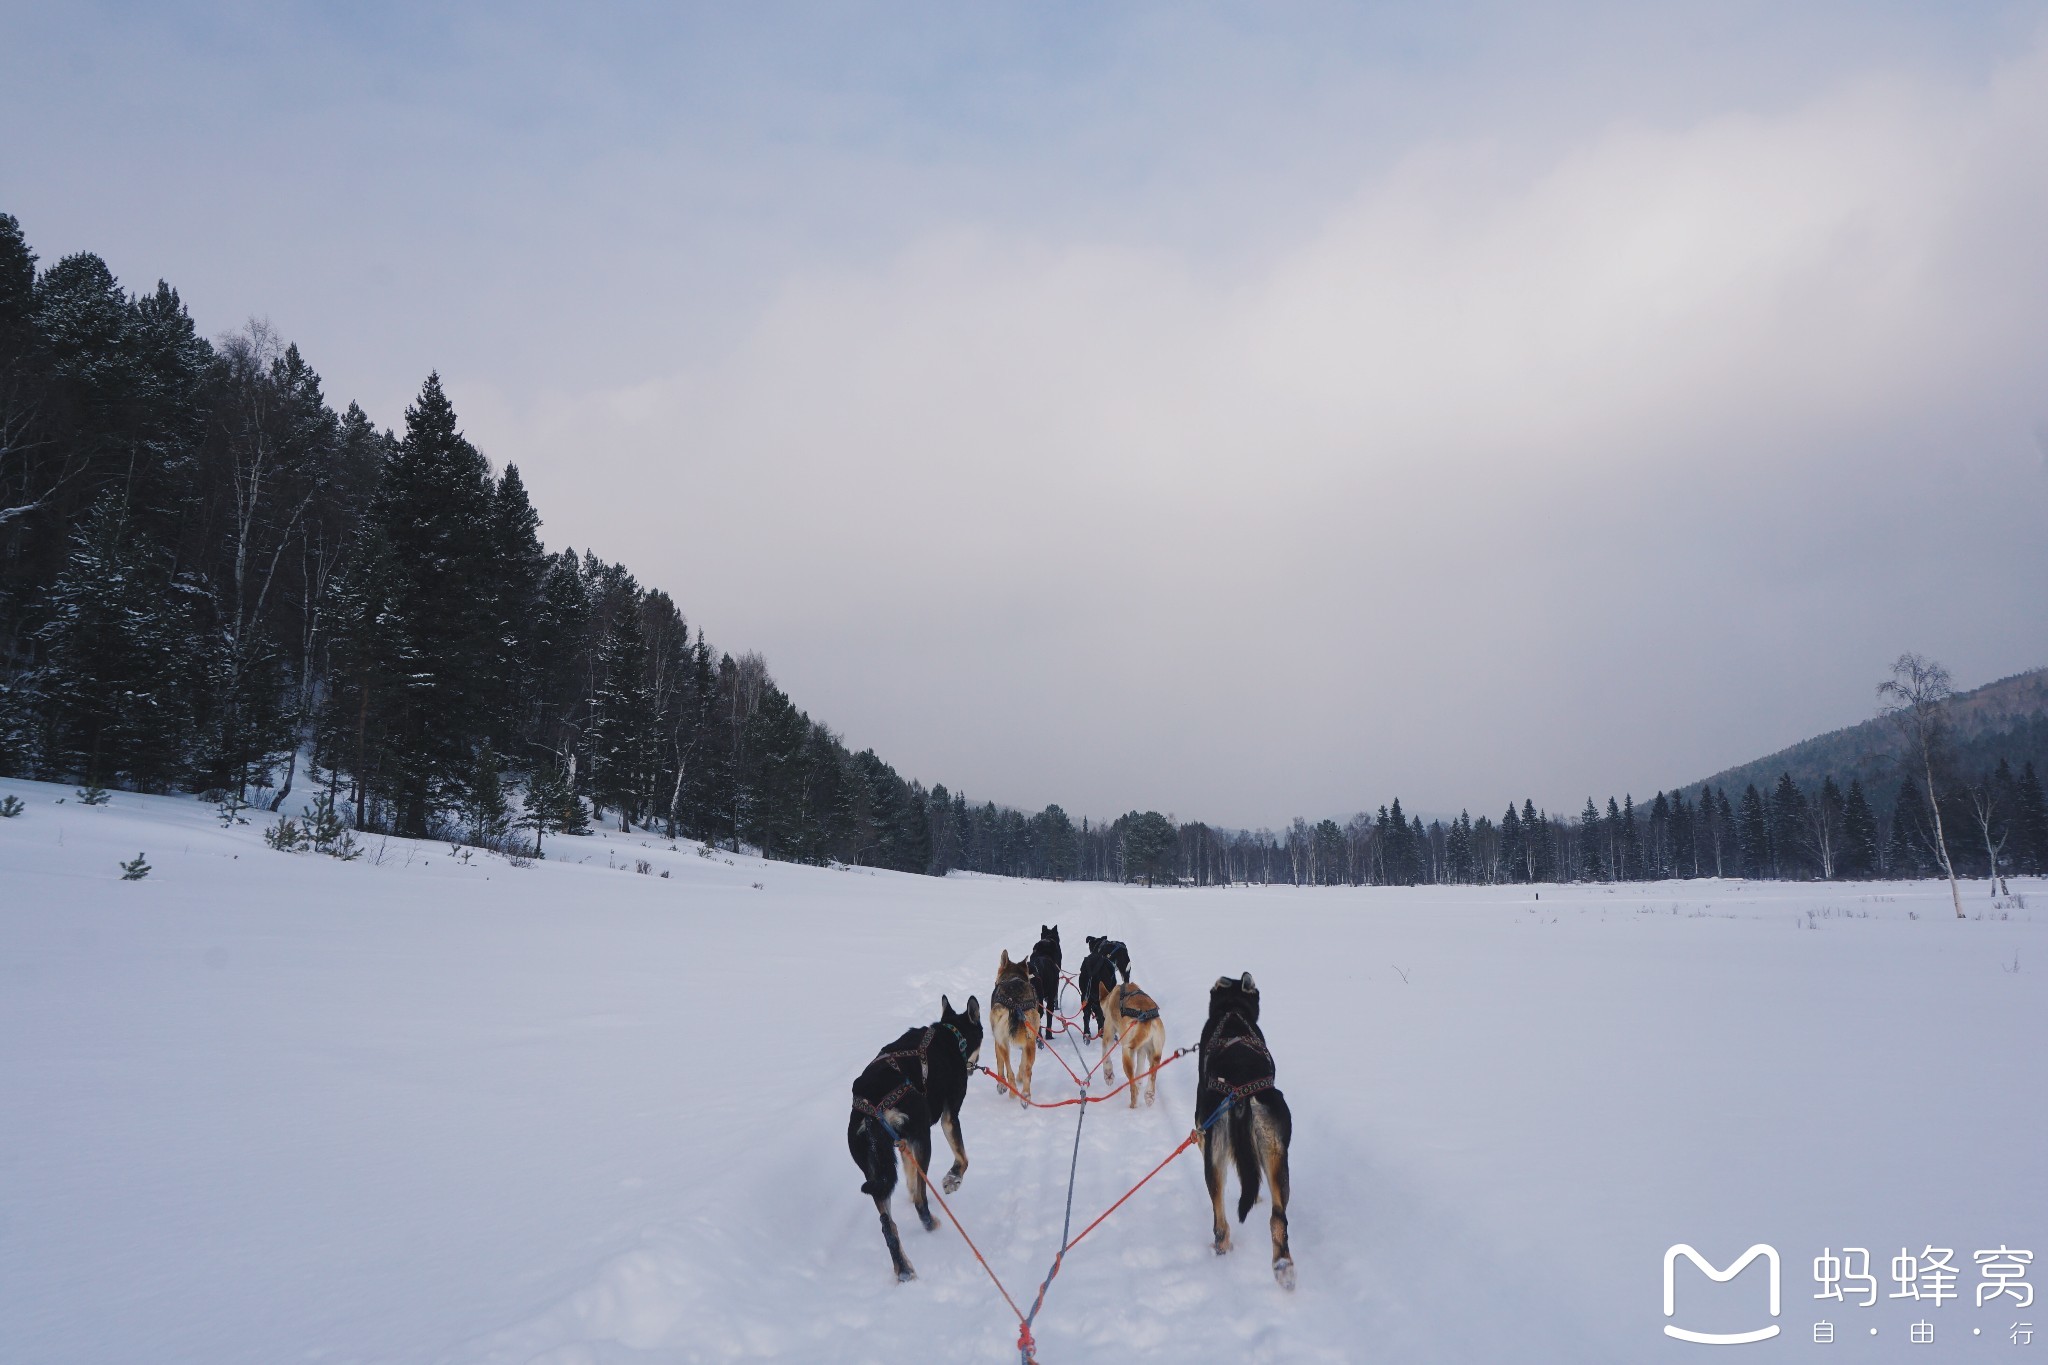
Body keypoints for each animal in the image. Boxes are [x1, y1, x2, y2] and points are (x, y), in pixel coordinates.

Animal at [839, 994, 983, 1285]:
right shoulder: (949, 1117)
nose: (975, 1066)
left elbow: (910, 1176)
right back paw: (930, 1223)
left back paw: (904, 1269)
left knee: (888, 1225)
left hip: (874, 1169)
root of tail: (874, 1109)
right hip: (923, 1138)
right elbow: (963, 1158)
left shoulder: (903, 1144)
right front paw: (953, 1179)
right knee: (920, 1201)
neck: (951, 1033)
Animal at [983, 957, 1040, 1105]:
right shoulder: (1025, 1042)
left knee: (1009, 1068)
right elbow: (1023, 1063)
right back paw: (1025, 1095)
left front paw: (1001, 1084)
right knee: (1027, 1069)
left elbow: (1000, 1064)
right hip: (1030, 1041)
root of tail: (1015, 1001)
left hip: (1004, 1041)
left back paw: (1012, 1090)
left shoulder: (997, 1041)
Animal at [1097, 982, 1163, 1113]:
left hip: (1127, 1053)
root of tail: (1145, 1017)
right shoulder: (1141, 1050)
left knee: (1133, 1087)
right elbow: (1140, 1072)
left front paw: (1108, 1075)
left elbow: (1105, 1055)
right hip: (1154, 1052)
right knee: (1151, 1072)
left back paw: (1133, 1106)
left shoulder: (1108, 1032)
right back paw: (1149, 1095)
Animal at [1196, 970, 1294, 1293]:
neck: (1233, 1010)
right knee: (1277, 1218)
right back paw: (1283, 1267)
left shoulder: (1201, 1125)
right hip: (1276, 1153)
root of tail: (1239, 1090)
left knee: (1220, 1221)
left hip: (1215, 1150)